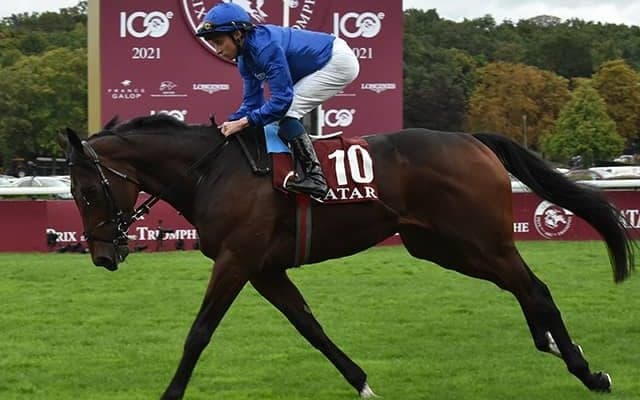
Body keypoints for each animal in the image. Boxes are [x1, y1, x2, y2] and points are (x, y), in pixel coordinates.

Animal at [59, 114, 634, 399]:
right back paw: (555, 347)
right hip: (442, 246)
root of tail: (473, 140)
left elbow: (199, 333)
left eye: (86, 192)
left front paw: (170, 394)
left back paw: (588, 372)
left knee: (533, 287)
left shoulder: (237, 259)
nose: (103, 255)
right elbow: (311, 328)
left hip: (479, 239)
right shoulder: (264, 268)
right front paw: (362, 382)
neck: (211, 171)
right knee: (522, 288)